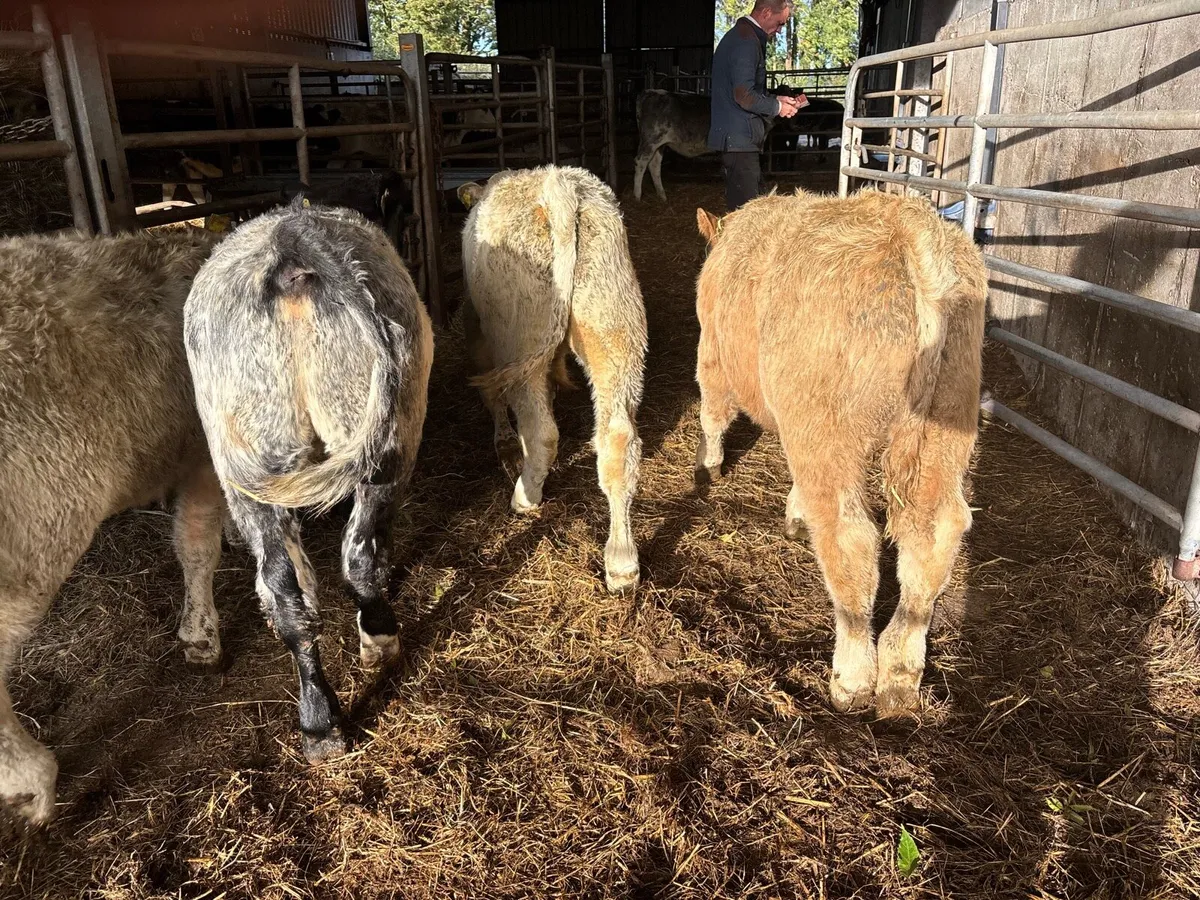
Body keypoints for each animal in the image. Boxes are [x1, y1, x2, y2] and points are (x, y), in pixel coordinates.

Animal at [184, 197, 434, 764]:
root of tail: (289, 244)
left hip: (253, 463)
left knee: (287, 589)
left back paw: (320, 721)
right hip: (390, 439)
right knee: (358, 553)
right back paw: (376, 645)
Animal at [457, 166, 646, 594]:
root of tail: (560, 187)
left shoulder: (481, 336)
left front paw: (503, 442)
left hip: (518, 333)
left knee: (541, 429)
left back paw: (526, 495)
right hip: (611, 324)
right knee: (617, 439)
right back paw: (622, 564)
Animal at [693, 187, 986, 717]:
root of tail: (909, 227)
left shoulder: (713, 353)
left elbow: (713, 411)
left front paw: (708, 467)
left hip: (828, 430)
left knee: (849, 535)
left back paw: (852, 677)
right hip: (948, 418)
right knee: (934, 530)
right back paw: (899, 675)